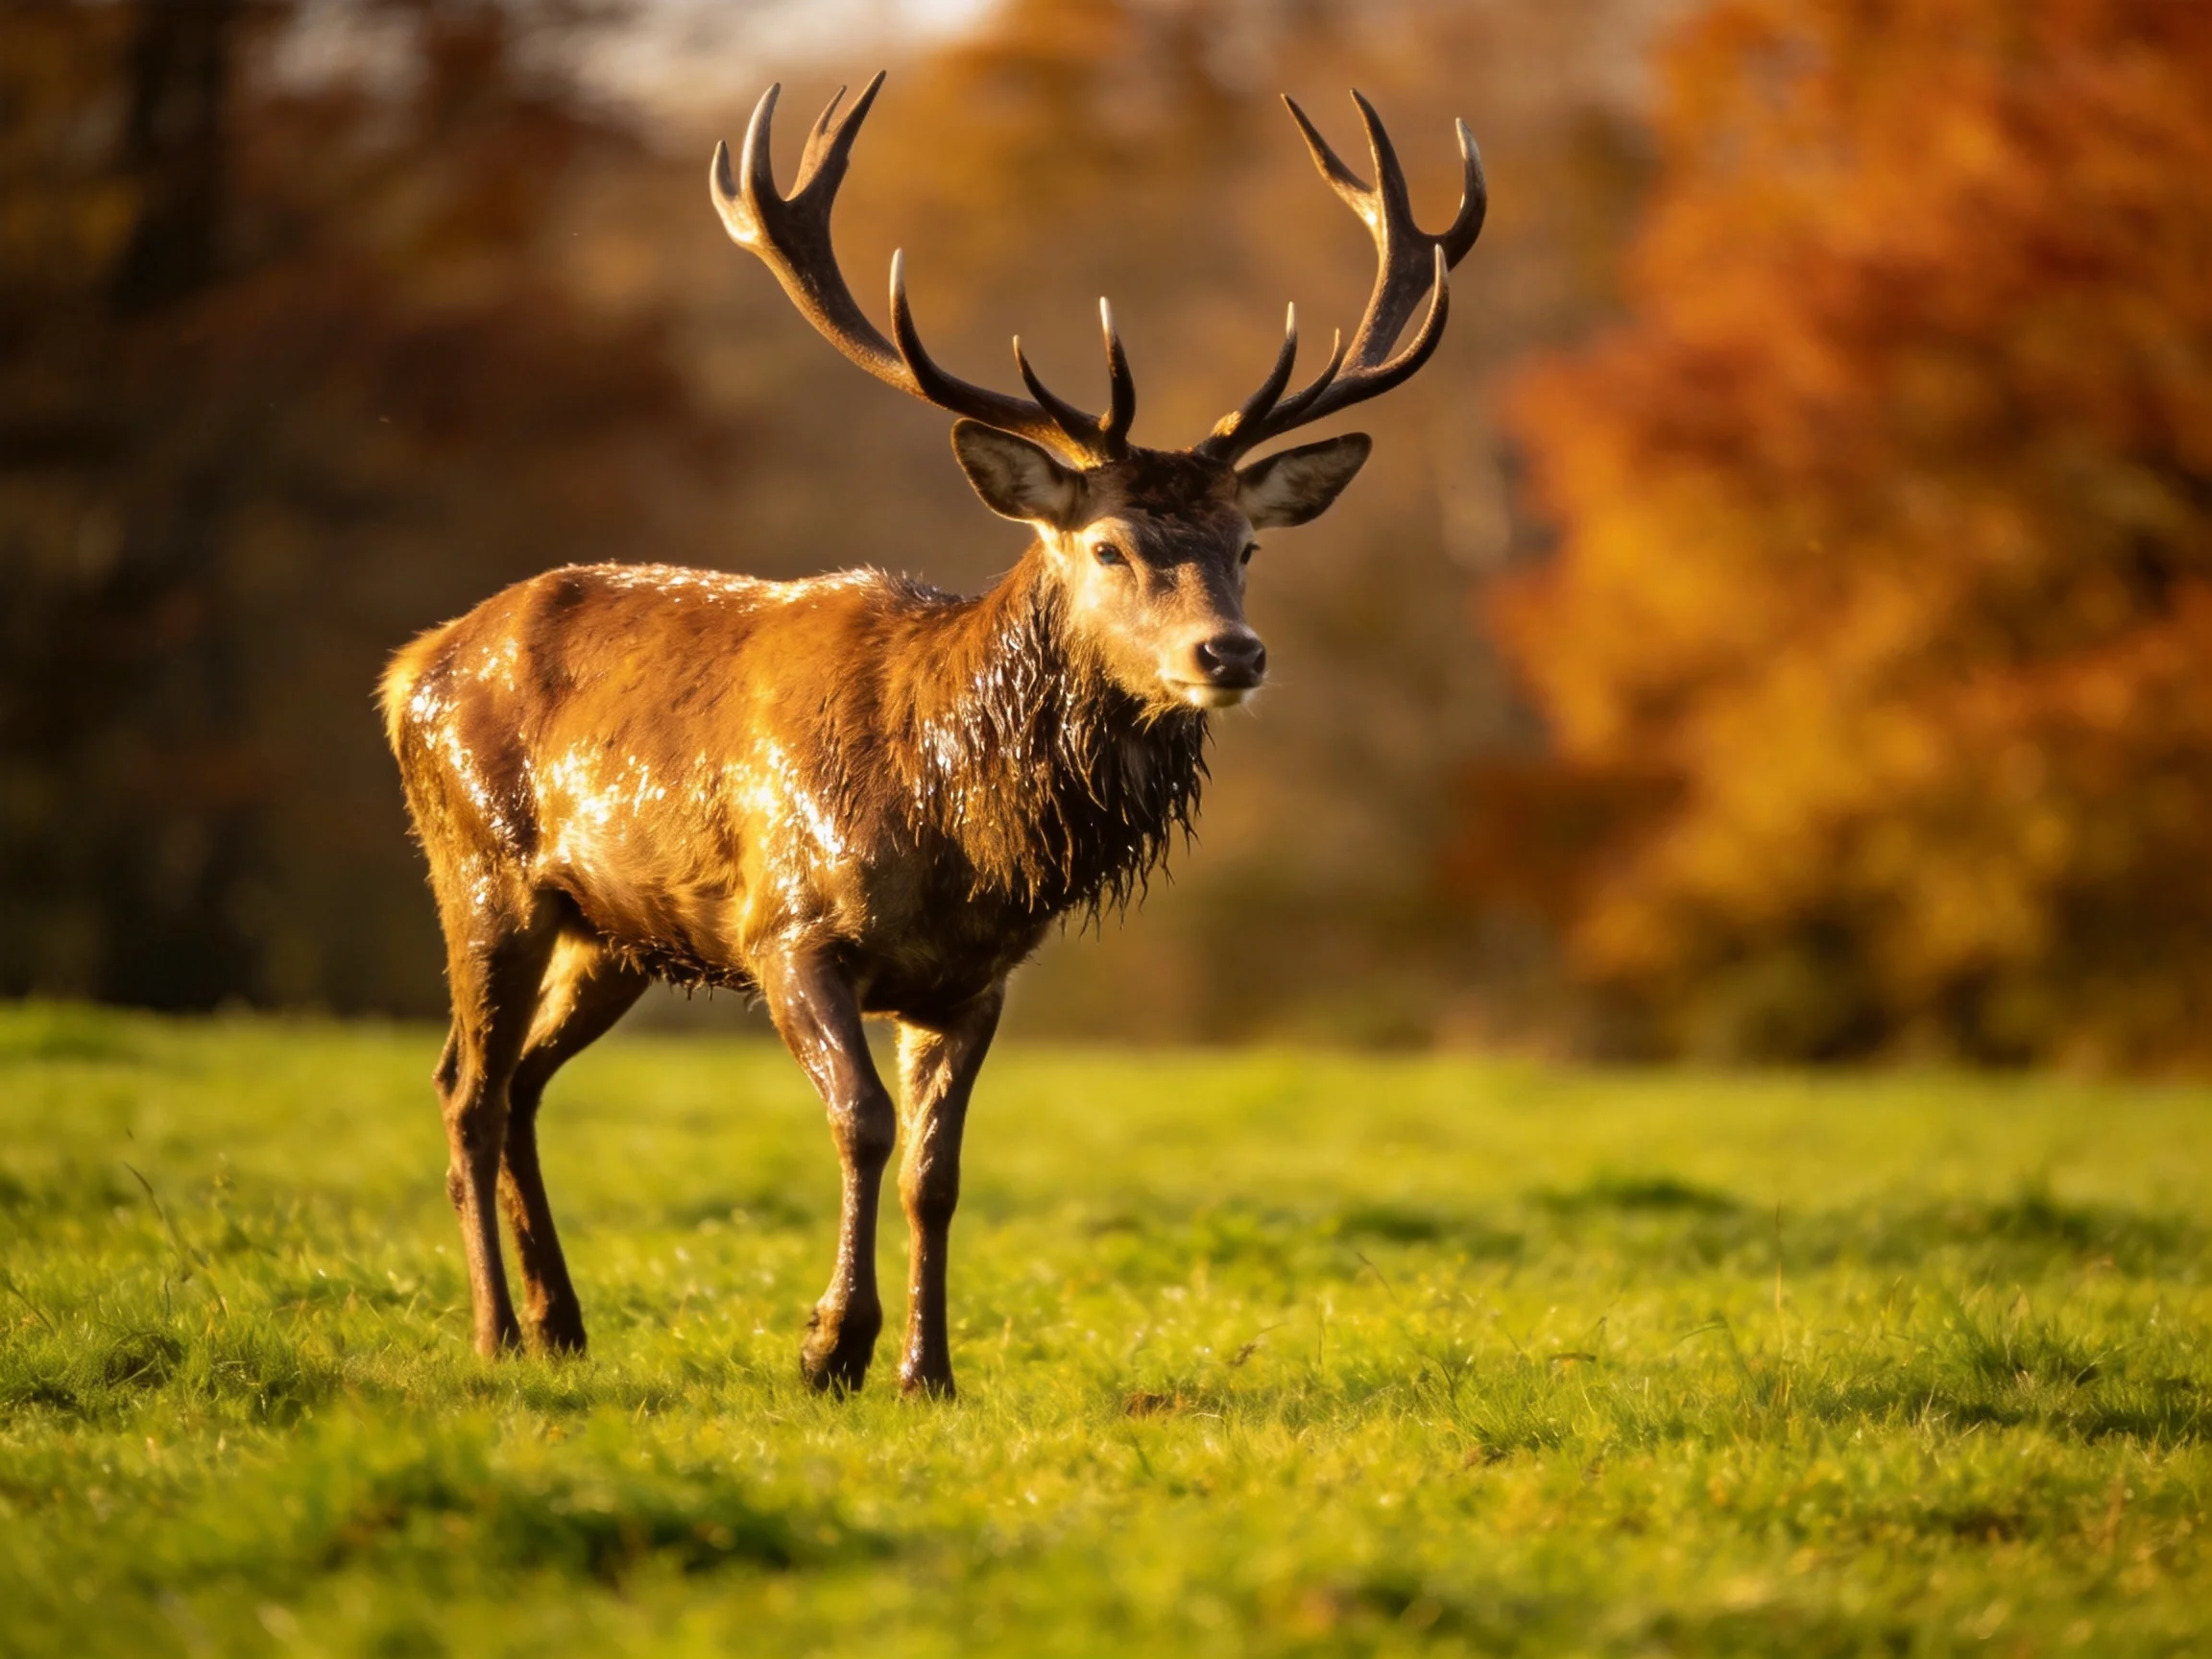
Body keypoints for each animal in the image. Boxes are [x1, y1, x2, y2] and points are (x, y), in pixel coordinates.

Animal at [380, 71, 1484, 1396]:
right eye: (1108, 545)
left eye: (1247, 545)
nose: (1232, 655)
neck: (953, 817)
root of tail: (411, 665)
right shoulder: (787, 927)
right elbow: (862, 1125)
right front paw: (829, 1348)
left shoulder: (974, 977)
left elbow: (937, 1169)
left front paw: (928, 1369)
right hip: (481, 870)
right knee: (467, 1083)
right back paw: (497, 1331)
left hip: (617, 933)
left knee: (528, 1082)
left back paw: (563, 1324)